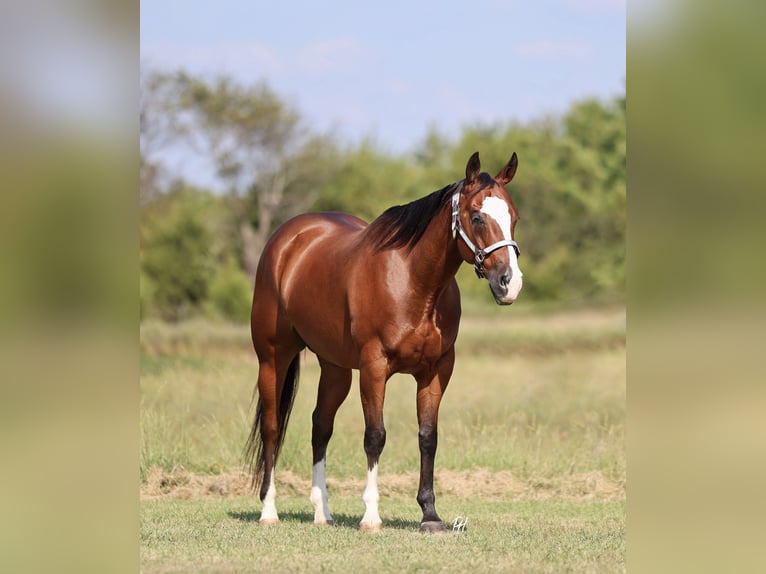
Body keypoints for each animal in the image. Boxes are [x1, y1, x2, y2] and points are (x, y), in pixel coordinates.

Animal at [245, 151, 523, 533]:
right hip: (273, 357)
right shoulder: (374, 368)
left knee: (320, 427)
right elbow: (375, 435)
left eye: (514, 217)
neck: (414, 281)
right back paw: (269, 510)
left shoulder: (436, 371)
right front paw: (371, 516)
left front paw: (430, 515)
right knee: (273, 428)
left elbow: (428, 437)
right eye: (477, 217)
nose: (510, 283)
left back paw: (322, 512)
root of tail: (287, 239)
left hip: (335, 369)